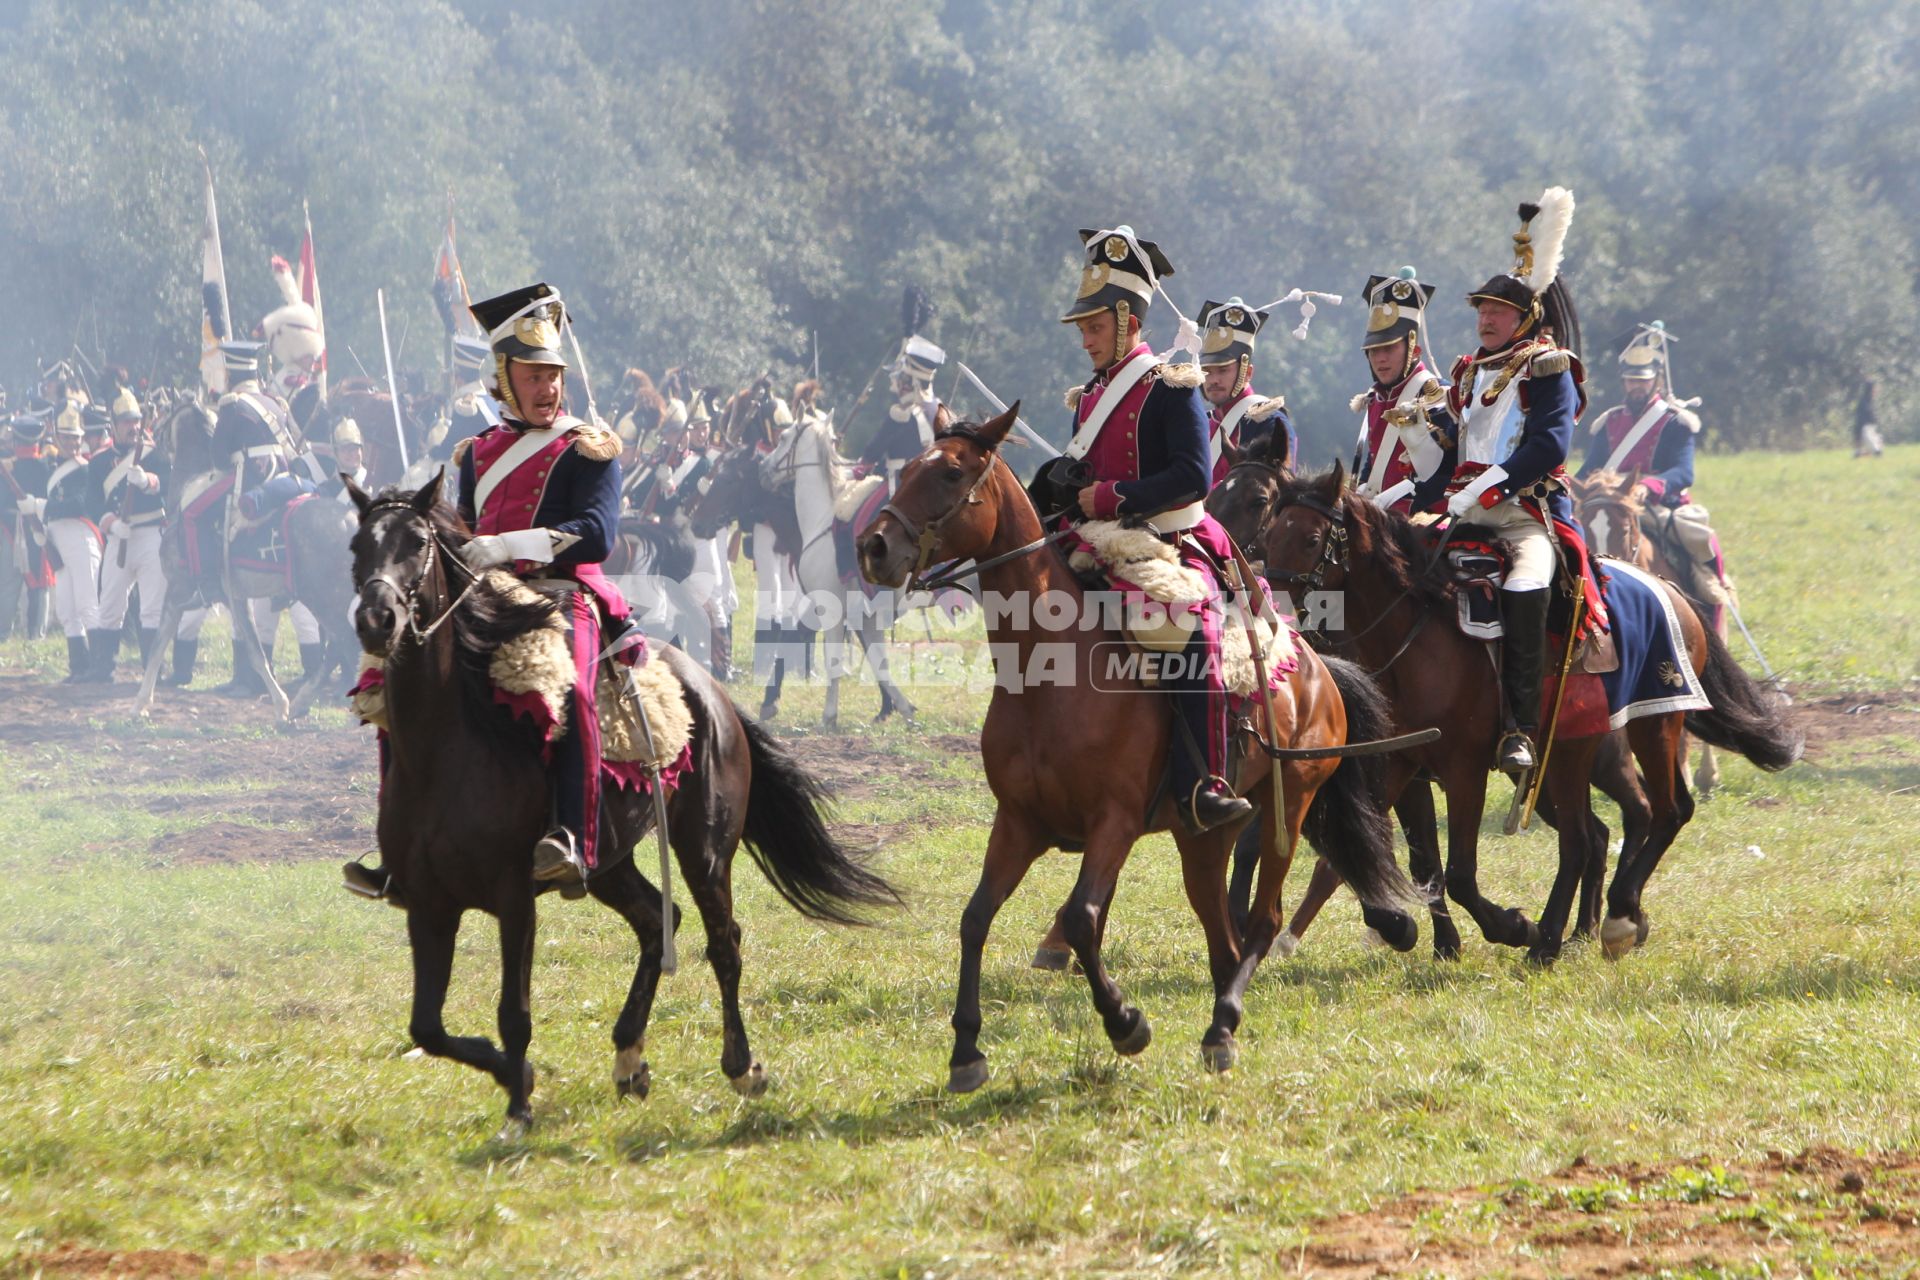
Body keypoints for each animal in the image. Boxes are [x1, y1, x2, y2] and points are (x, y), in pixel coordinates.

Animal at [347, 475, 898, 1136]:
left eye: (416, 543)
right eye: (357, 545)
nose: (377, 619)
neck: (447, 749)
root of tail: (710, 691)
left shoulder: (513, 899)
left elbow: (513, 1013)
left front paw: (519, 1105)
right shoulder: (428, 906)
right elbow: (426, 1028)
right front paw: (516, 1078)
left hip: (703, 849)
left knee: (723, 943)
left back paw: (741, 1066)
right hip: (607, 862)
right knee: (659, 921)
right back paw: (629, 1056)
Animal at [856, 404, 1413, 1090]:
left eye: (952, 473)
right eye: (909, 467)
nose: (874, 546)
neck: (1048, 675)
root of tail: (1316, 667)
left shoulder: (1114, 822)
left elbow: (1081, 917)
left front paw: (1125, 1023)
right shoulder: (1018, 824)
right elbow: (975, 917)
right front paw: (966, 1050)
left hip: (1292, 803)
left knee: (1263, 921)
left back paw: (1224, 1023)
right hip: (1203, 835)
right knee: (1222, 933)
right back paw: (1221, 1024)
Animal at [1213, 458, 1797, 959]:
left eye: (1312, 538)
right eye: (1271, 532)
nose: (1267, 610)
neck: (1413, 634)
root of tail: (1669, 589)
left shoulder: (1463, 769)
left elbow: (1457, 872)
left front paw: (1510, 926)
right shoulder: (1396, 763)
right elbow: (1379, 853)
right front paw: (1401, 927)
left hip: (1648, 729)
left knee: (1657, 814)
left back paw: (1605, 921)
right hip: (1565, 755)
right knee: (1590, 836)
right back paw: (1568, 934)